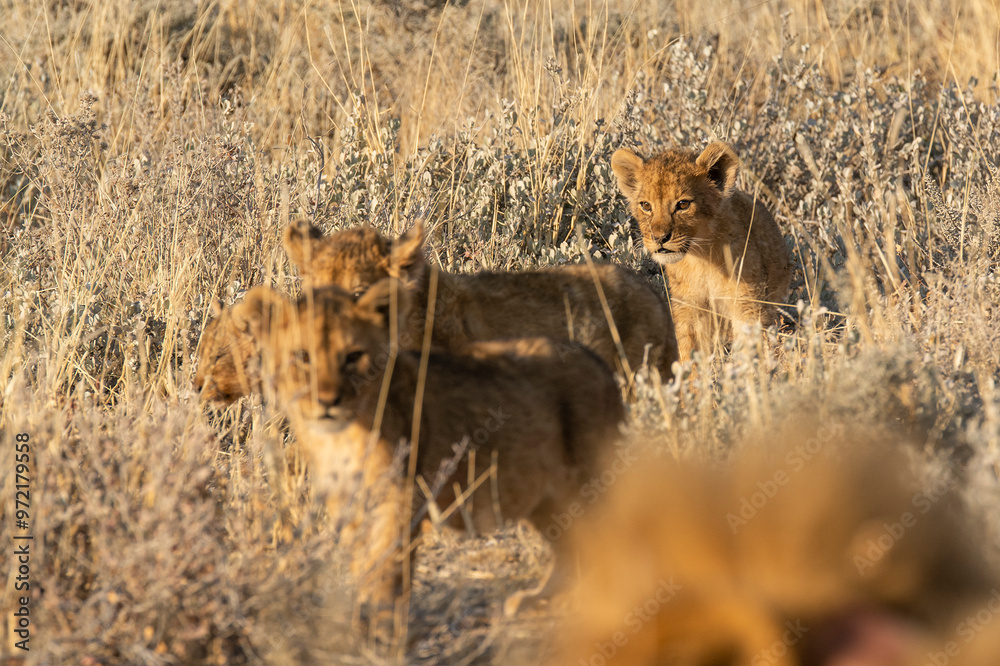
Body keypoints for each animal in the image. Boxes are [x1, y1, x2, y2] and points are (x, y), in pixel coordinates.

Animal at [231, 279, 625, 620]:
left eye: (353, 356)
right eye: (302, 356)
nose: (327, 401)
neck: (340, 435)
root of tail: (600, 364)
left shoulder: (400, 497)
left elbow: (386, 567)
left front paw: (381, 626)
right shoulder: (350, 502)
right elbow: (363, 566)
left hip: (587, 483)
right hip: (546, 497)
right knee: (574, 550)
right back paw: (538, 600)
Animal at [611, 141, 793, 359]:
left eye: (683, 204)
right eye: (646, 205)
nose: (659, 238)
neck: (701, 257)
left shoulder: (747, 304)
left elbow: (750, 349)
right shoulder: (690, 306)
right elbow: (689, 348)